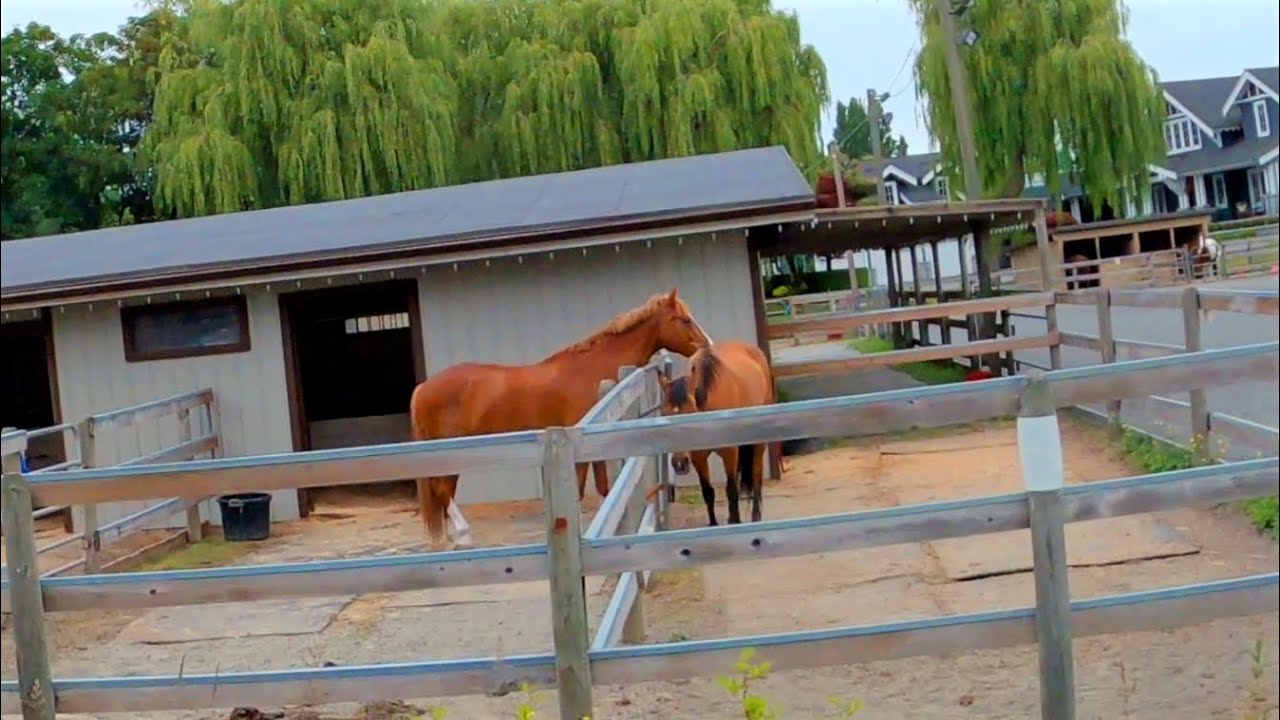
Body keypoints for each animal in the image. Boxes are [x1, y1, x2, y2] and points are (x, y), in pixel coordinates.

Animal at [409, 289, 713, 551]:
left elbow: (604, 487)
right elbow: (580, 488)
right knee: (443, 490)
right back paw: (464, 536)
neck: (591, 369)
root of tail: (422, 388)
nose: (707, 348)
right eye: (685, 320)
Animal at [655, 340, 775, 525]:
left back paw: (755, 517)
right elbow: (708, 492)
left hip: (757, 443)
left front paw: (735, 522)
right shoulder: (698, 457)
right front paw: (714, 524)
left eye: (692, 413)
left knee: (756, 476)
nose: (679, 463)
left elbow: (731, 490)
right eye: (665, 415)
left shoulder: (729, 451)